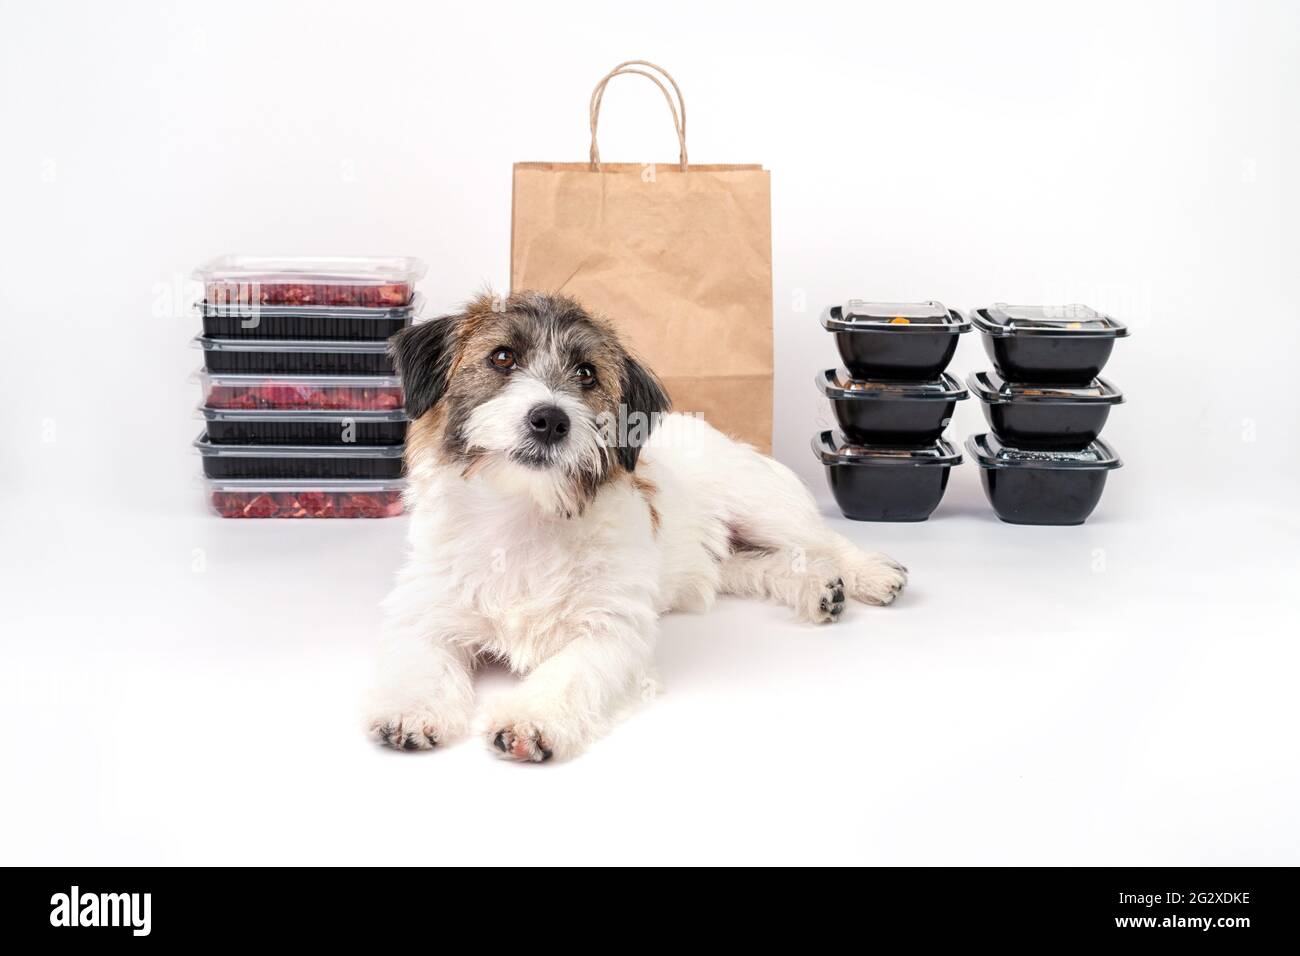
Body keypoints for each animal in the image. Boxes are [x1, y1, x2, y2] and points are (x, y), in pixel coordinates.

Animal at [364, 291, 904, 764]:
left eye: (586, 373)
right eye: (502, 357)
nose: (550, 419)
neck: (523, 514)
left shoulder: (610, 631)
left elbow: (569, 672)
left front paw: (532, 719)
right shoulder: (427, 611)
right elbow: (422, 659)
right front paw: (411, 710)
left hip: (764, 508)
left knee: (822, 540)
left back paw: (869, 574)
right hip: (724, 561)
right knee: (760, 565)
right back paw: (818, 589)